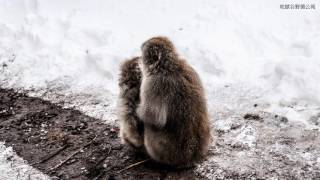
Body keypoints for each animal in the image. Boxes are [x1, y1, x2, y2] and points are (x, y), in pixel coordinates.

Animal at [136, 36, 211, 166]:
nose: (139, 59)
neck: (169, 66)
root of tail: (191, 157)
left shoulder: (153, 84)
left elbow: (153, 117)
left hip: (161, 149)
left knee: (151, 126)